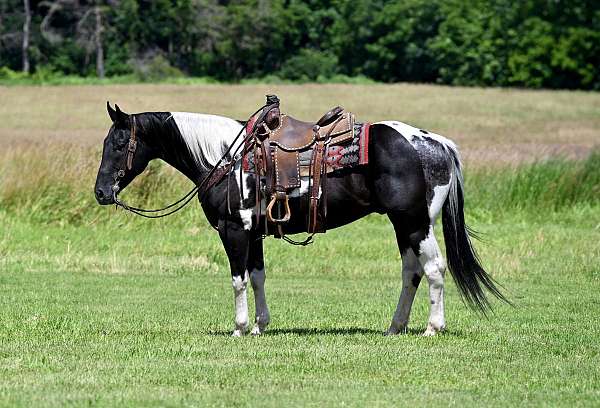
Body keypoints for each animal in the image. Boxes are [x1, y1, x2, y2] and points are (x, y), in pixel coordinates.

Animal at [94, 103, 506, 338]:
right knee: (412, 272)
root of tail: (436, 144)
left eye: (118, 143)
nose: (100, 192)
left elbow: (238, 280)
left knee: (434, 269)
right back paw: (394, 327)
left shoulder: (234, 230)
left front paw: (240, 329)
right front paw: (260, 326)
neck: (225, 157)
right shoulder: (254, 234)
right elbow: (258, 277)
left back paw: (432, 329)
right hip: (403, 226)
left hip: (415, 223)